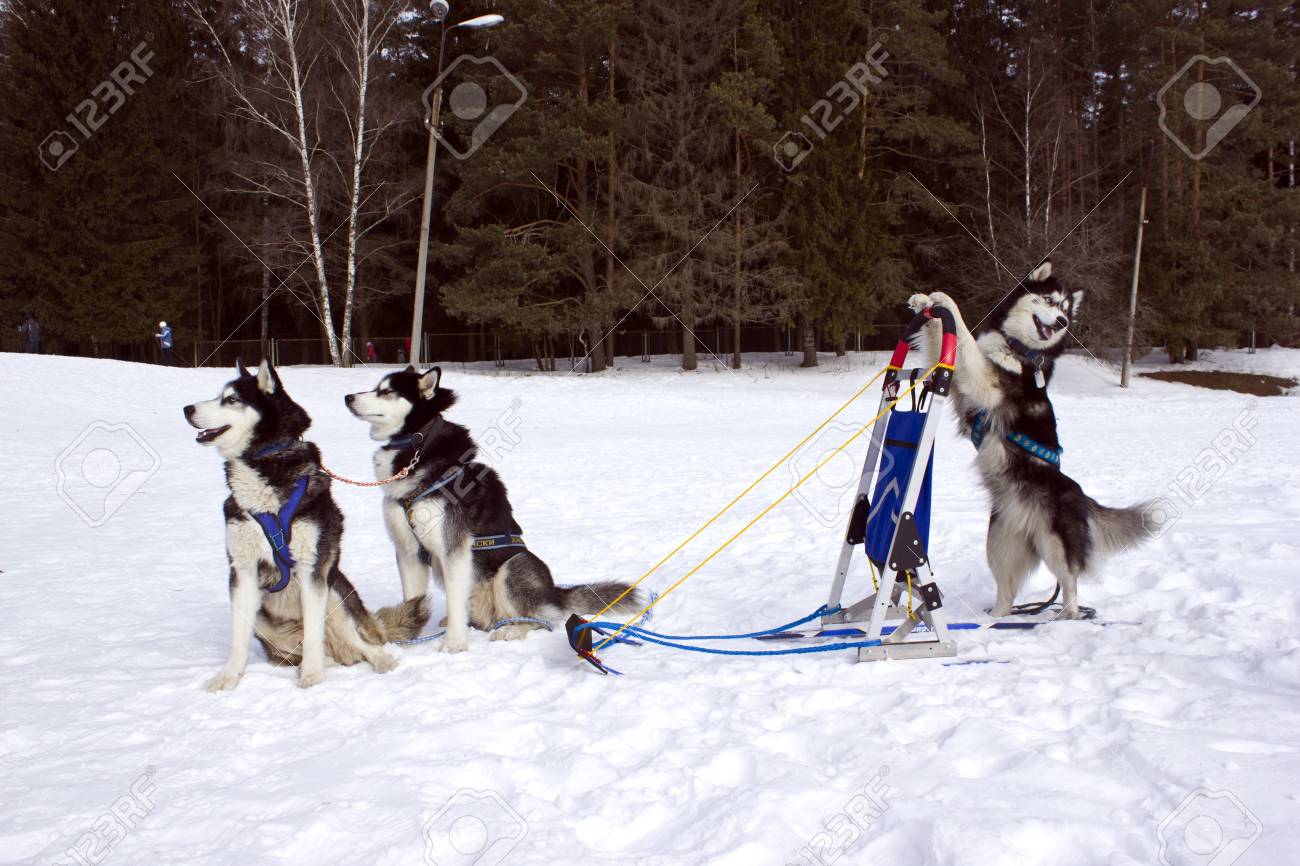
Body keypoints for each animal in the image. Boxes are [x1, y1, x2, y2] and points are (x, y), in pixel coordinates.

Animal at [185, 356, 428, 686]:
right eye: (219, 395)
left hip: (334, 594)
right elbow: (238, 638)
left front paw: (312, 677)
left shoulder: (312, 567)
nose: (187, 409)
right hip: (267, 620)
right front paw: (229, 677)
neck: (265, 466)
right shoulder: (242, 570)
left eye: (232, 399)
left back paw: (378, 660)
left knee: (361, 644)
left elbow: (315, 632)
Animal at [343, 361, 642, 647]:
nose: (347, 397)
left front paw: (454, 644)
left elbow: (454, 602)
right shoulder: (408, 551)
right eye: (376, 387)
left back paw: (511, 630)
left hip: (514, 567)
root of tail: (554, 593)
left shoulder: (454, 549)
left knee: (543, 619)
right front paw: (408, 638)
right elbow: (412, 599)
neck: (417, 446)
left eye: (387, 391)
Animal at [909, 260, 1154, 616]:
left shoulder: (988, 383)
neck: (1019, 350)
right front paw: (923, 302)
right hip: (999, 546)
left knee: (1070, 584)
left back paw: (1066, 616)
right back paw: (995, 620)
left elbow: (965, 335)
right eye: (1050, 301)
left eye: (1065, 308)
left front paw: (944, 299)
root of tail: (1082, 496)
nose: (1063, 321)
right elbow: (941, 343)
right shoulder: (959, 387)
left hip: (1055, 546)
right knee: (1007, 593)